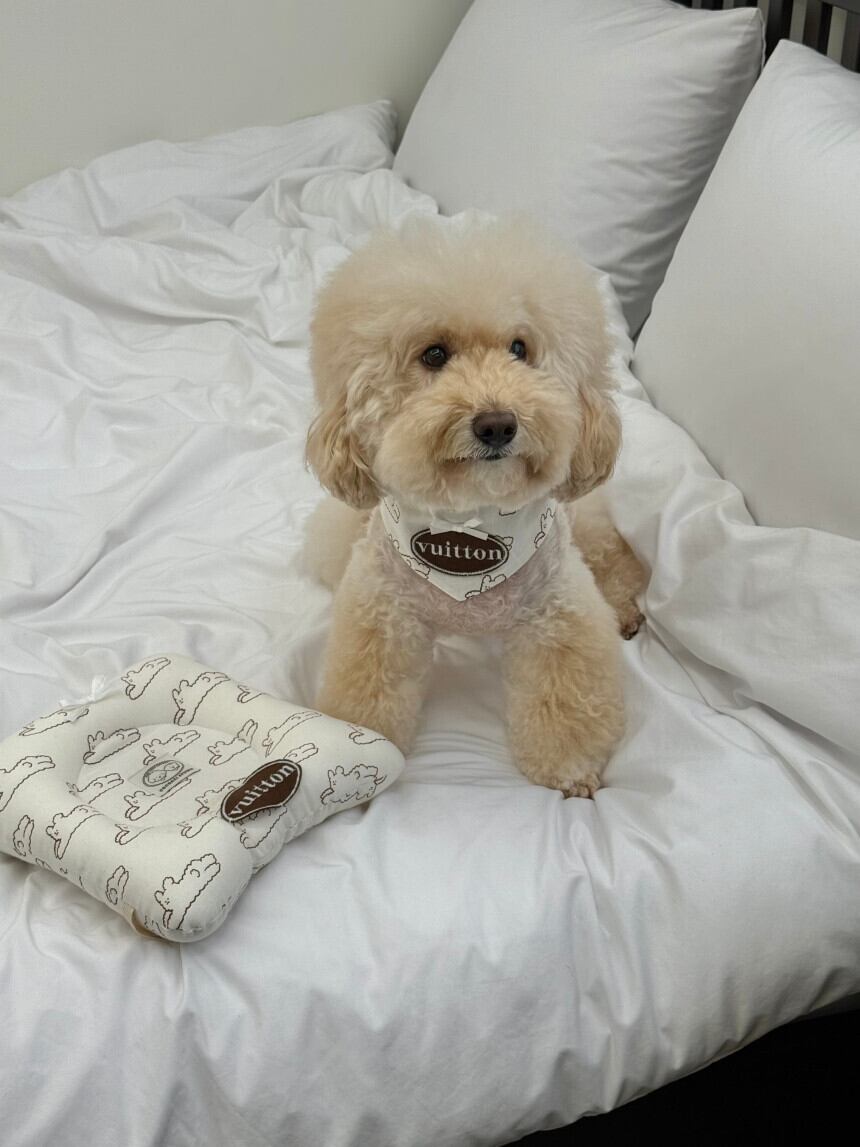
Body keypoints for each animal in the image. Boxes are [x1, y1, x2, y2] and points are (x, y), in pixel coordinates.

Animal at [304, 217, 645, 797]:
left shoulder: (558, 614)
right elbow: (367, 687)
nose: (498, 424)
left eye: (520, 348)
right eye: (434, 355)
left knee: (613, 555)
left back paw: (625, 607)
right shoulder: (382, 611)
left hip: (585, 522)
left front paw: (571, 769)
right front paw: (359, 748)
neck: (472, 519)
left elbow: (566, 695)